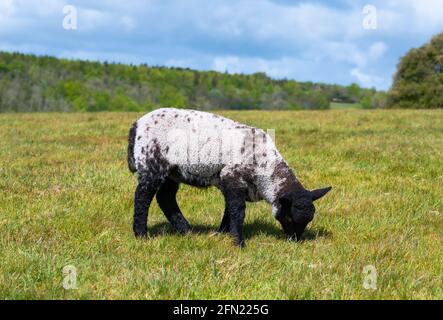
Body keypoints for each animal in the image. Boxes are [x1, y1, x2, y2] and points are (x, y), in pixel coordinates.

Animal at [126, 108, 332, 248]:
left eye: (308, 221)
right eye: (289, 217)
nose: (294, 240)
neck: (265, 167)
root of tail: (137, 124)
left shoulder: (230, 182)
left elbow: (229, 209)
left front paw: (223, 232)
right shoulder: (232, 177)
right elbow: (237, 211)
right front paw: (239, 242)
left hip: (172, 172)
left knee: (166, 198)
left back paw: (185, 229)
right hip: (152, 164)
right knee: (142, 197)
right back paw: (141, 234)